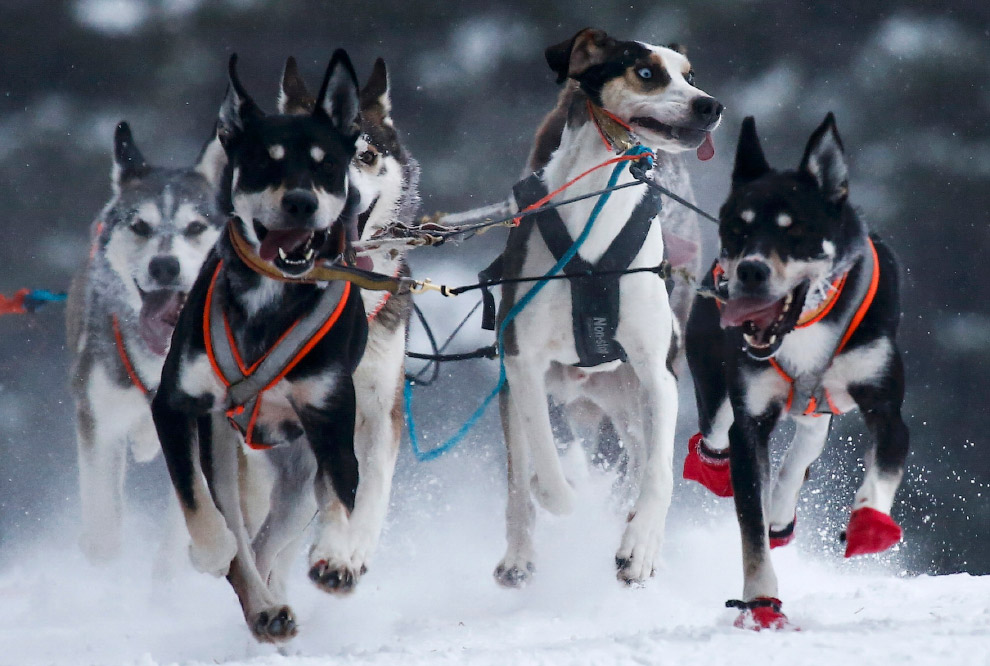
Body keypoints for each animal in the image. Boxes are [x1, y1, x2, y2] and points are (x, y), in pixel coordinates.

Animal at [153, 52, 370, 640]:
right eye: (263, 163)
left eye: (324, 164)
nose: (300, 201)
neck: (274, 298)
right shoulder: (175, 405)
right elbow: (197, 503)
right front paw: (209, 550)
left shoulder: (330, 420)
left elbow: (342, 496)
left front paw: (337, 559)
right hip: (223, 448)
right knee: (240, 538)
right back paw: (263, 605)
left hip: (296, 474)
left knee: (270, 543)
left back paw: (274, 601)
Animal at [492, 28, 724, 584]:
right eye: (646, 73)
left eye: (690, 75)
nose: (711, 105)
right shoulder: (523, 362)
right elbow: (543, 462)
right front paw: (555, 493)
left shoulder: (658, 373)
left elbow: (658, 474)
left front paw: (640, 547)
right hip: (521, 392)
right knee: (519, 476)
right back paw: (520, 551)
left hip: (629, 400)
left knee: (638, 460)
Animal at [684, 114, 912, 628]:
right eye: (737, 229)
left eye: (795, 231)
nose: (749, 270)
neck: (806, 325)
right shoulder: (750, 421)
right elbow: (751, 528)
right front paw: (761, 603)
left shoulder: (885, 405)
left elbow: (884, 468)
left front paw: (868, 523)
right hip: (717, 395)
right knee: (717, 435)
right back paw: (718, 472)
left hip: (822, 400)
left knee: (808, 434)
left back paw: (784, 509)